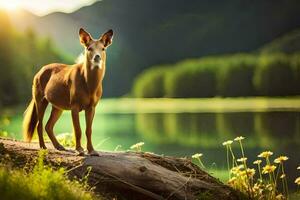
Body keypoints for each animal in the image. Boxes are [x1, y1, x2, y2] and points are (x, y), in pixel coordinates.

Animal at [22, 28, 113, 156]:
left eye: (103, 48)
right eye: (89, 48)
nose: (97, 57)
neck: (90, 85)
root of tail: (38, 72)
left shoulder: (92, 107)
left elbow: (89, 130)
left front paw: (92, 150)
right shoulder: (74, 105)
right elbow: (77, 130)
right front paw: (79, 150)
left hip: (58, 106)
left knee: (48, 126)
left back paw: (59, 146)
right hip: (40, 99)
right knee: (39, 125)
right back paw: (43, 147)